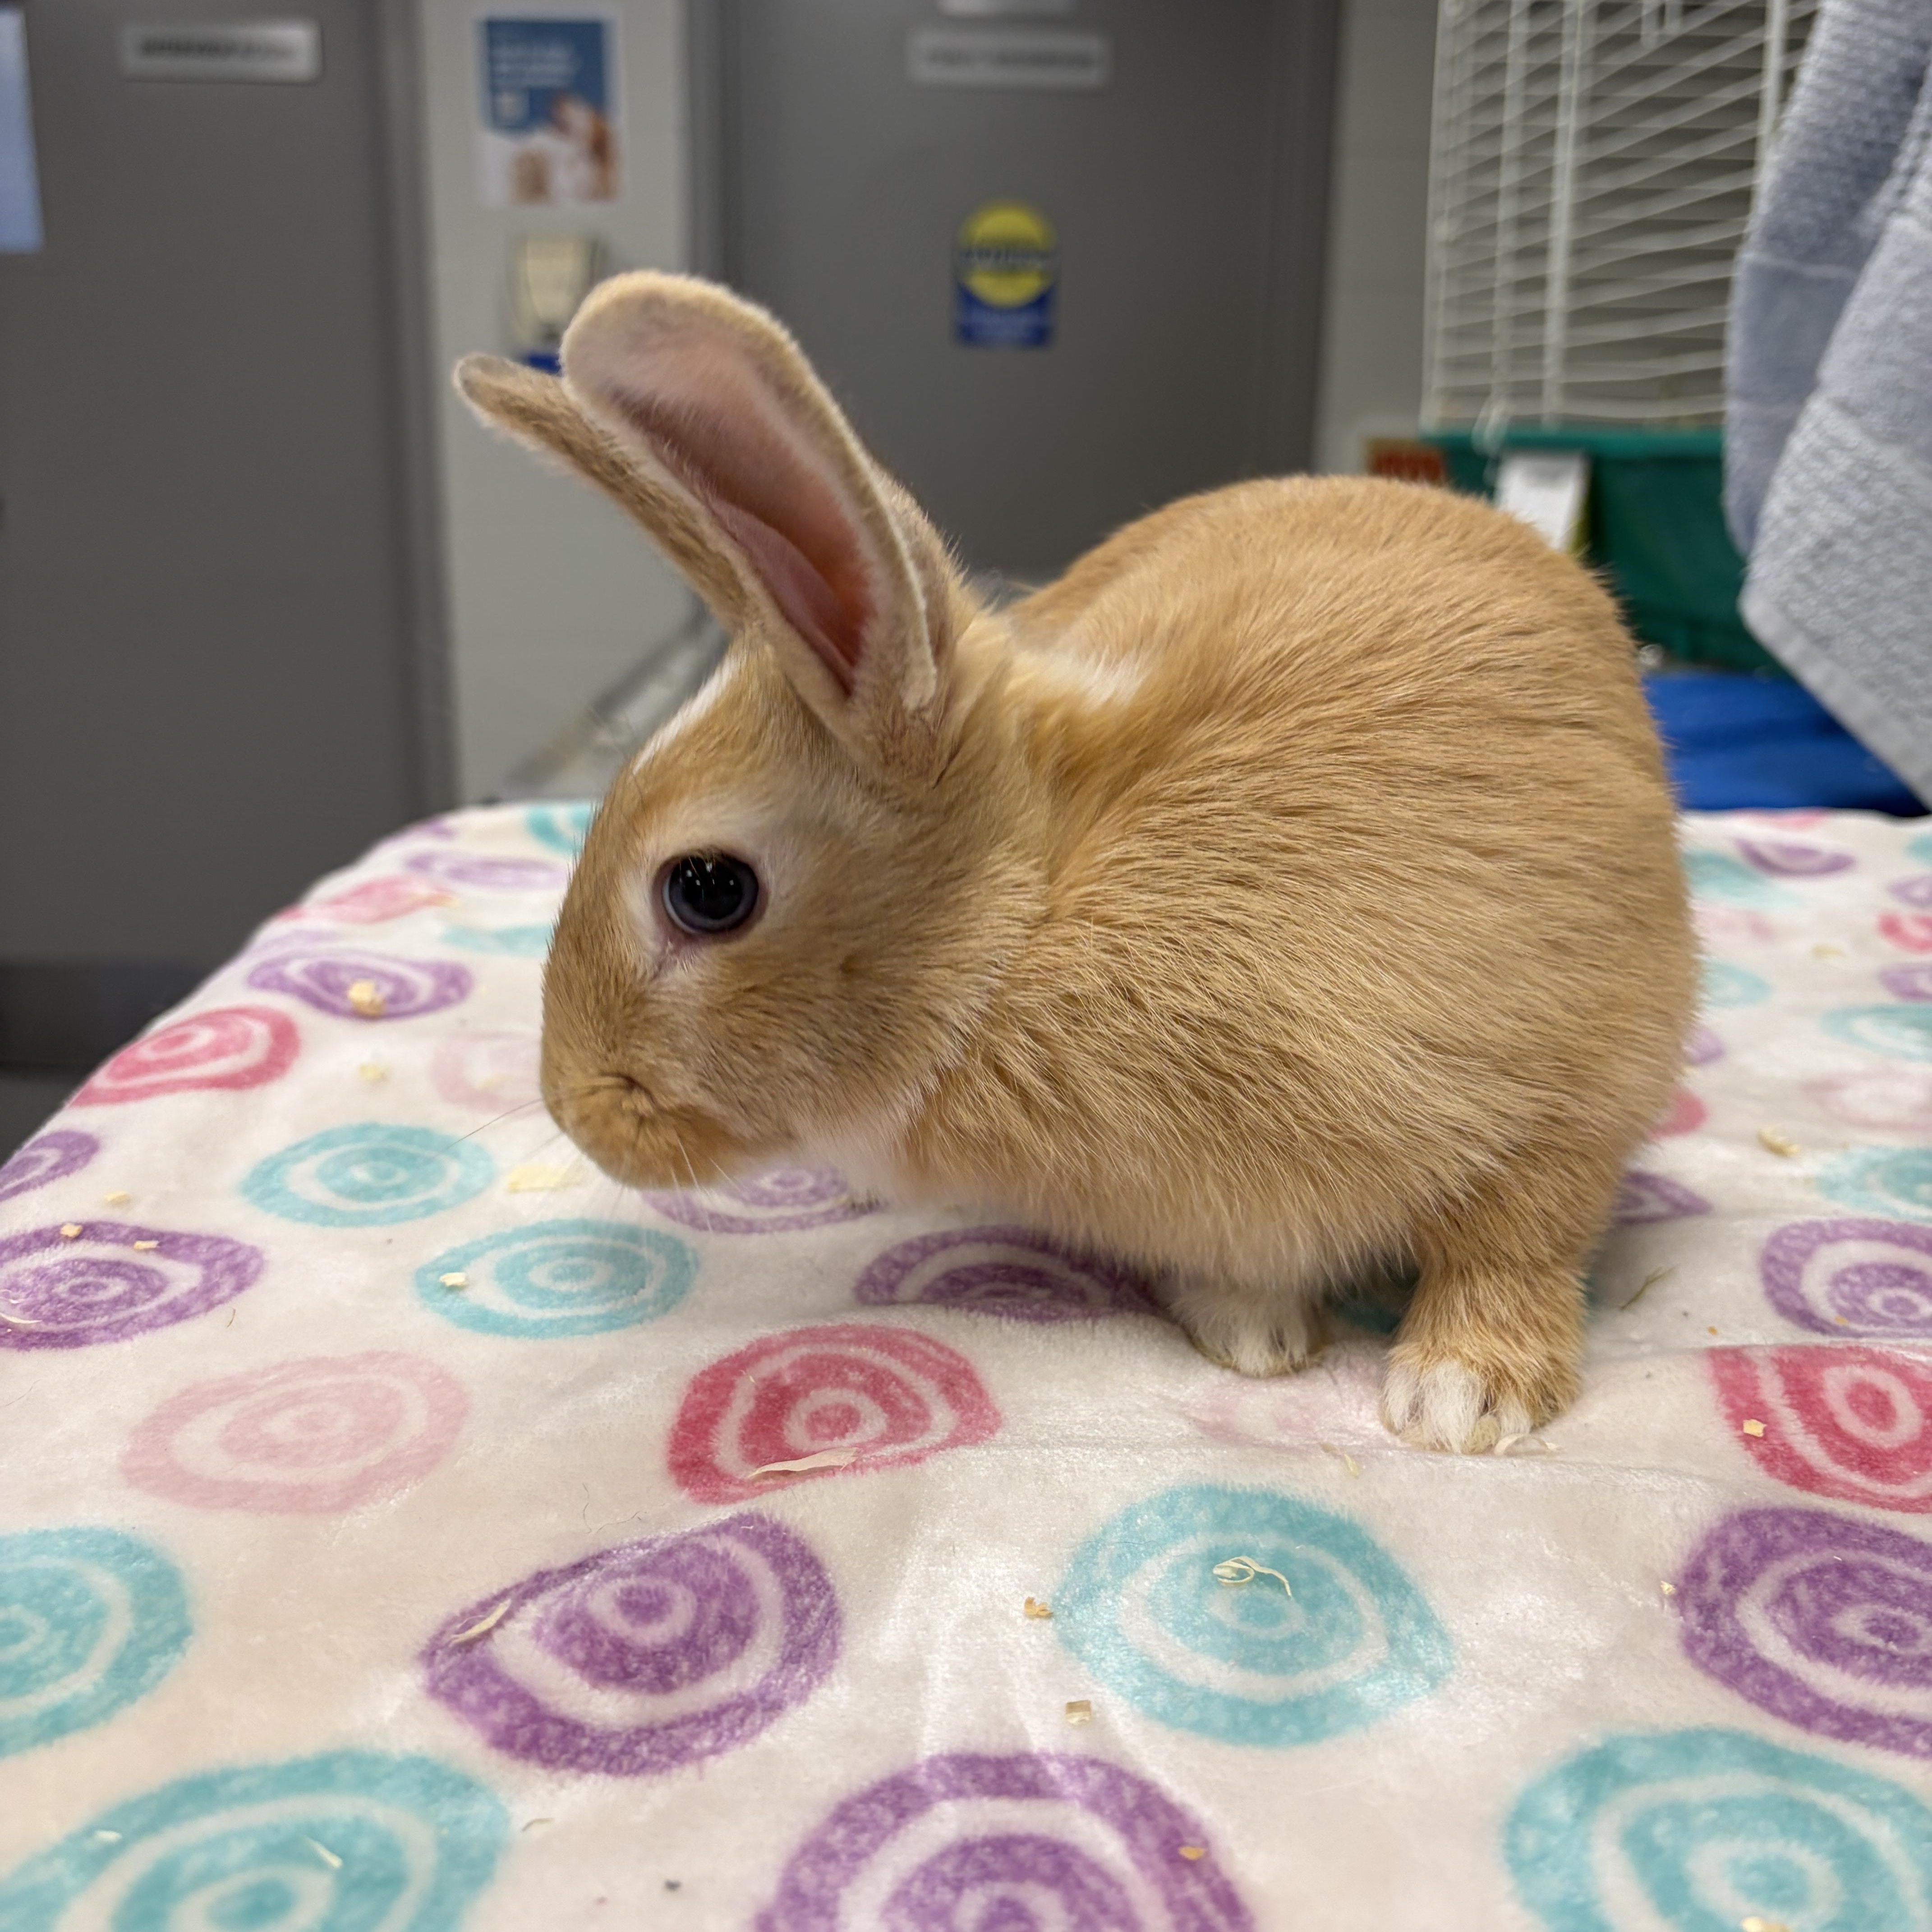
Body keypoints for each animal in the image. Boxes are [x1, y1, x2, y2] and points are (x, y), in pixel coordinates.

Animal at [455, 271, 1696, 1453]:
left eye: (706, 891)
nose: (573, 1109)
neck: (1035, 921)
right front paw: (1254, 1336)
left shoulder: (1575, 1086)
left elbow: (1516, 1243)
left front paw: (1461, 1401)